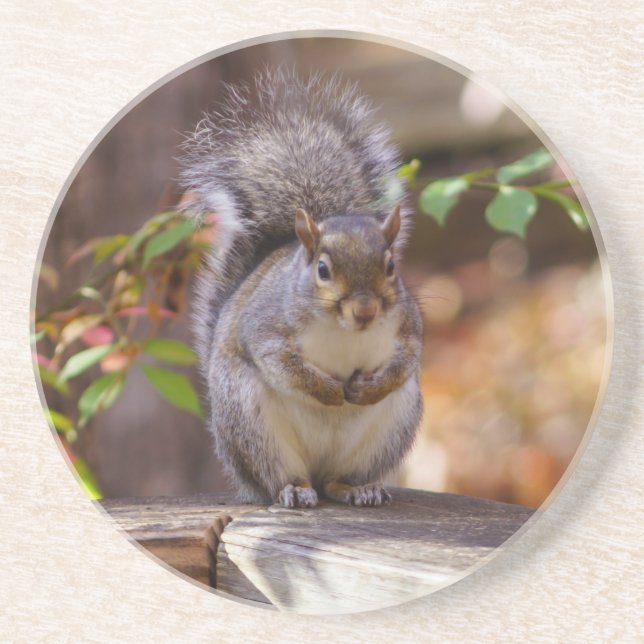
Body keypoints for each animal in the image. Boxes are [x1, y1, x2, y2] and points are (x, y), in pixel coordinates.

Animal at [180, 69, 423, 508]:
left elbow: (407, 360)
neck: (344, 330)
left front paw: (367, 388)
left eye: (391, 266)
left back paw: (358, 489)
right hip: (252, 425)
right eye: (323, 269)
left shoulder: (408, 326)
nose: (365, 310)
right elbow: (281, 362)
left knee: (336, 481)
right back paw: (294, 490)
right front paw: (329, 391)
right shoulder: (265, 326)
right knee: (282, 478)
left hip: (390, 429)